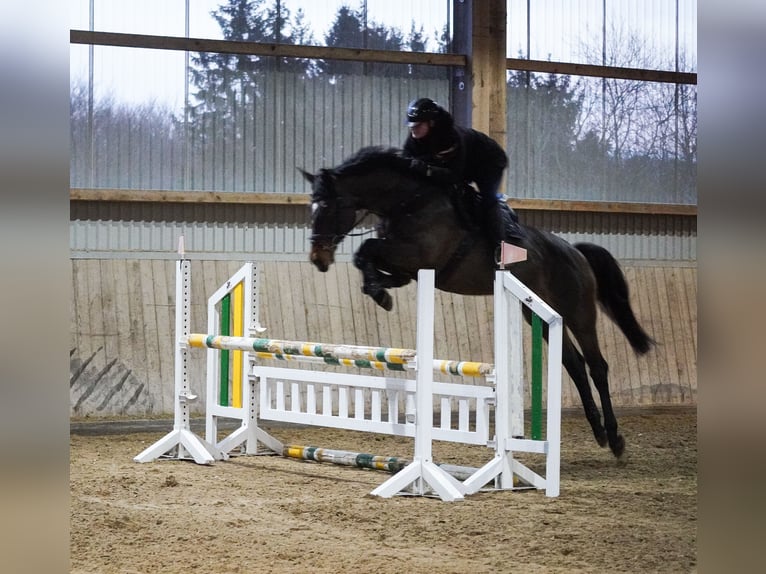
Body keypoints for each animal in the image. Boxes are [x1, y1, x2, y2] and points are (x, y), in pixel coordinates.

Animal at [298, 146, 656, 462]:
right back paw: (599, 432)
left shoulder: (416, 255)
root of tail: (577, 253)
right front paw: (378, 289)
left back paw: (615, 438)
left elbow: (367, 249)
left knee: (596, 367)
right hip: (536, 313)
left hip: (578, 313)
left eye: (327, 208)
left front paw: (379, 291)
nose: (318, 259)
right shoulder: (407, 265)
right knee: (575, 365)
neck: (408, 201)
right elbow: (369, 259)